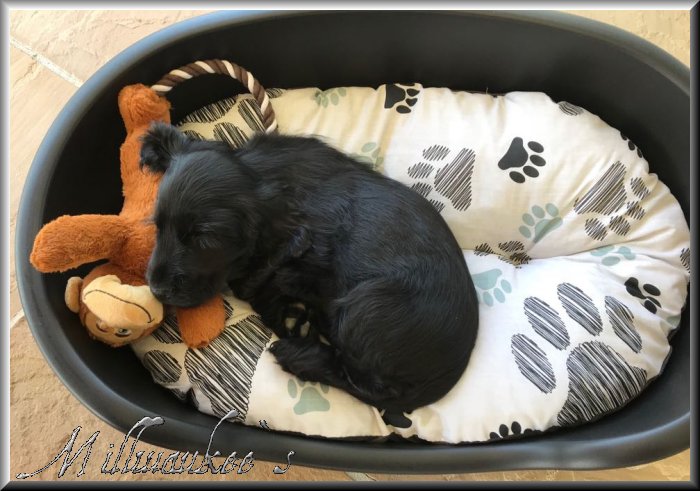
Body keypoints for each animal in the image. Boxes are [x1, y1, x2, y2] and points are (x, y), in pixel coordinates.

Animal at [140, 122, 479, 413]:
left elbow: (261, 282)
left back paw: (300, 353)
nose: (156, 290)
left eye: (204, 239)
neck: (263, 175)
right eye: (157, 225)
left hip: (366, 306)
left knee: (363, 381)